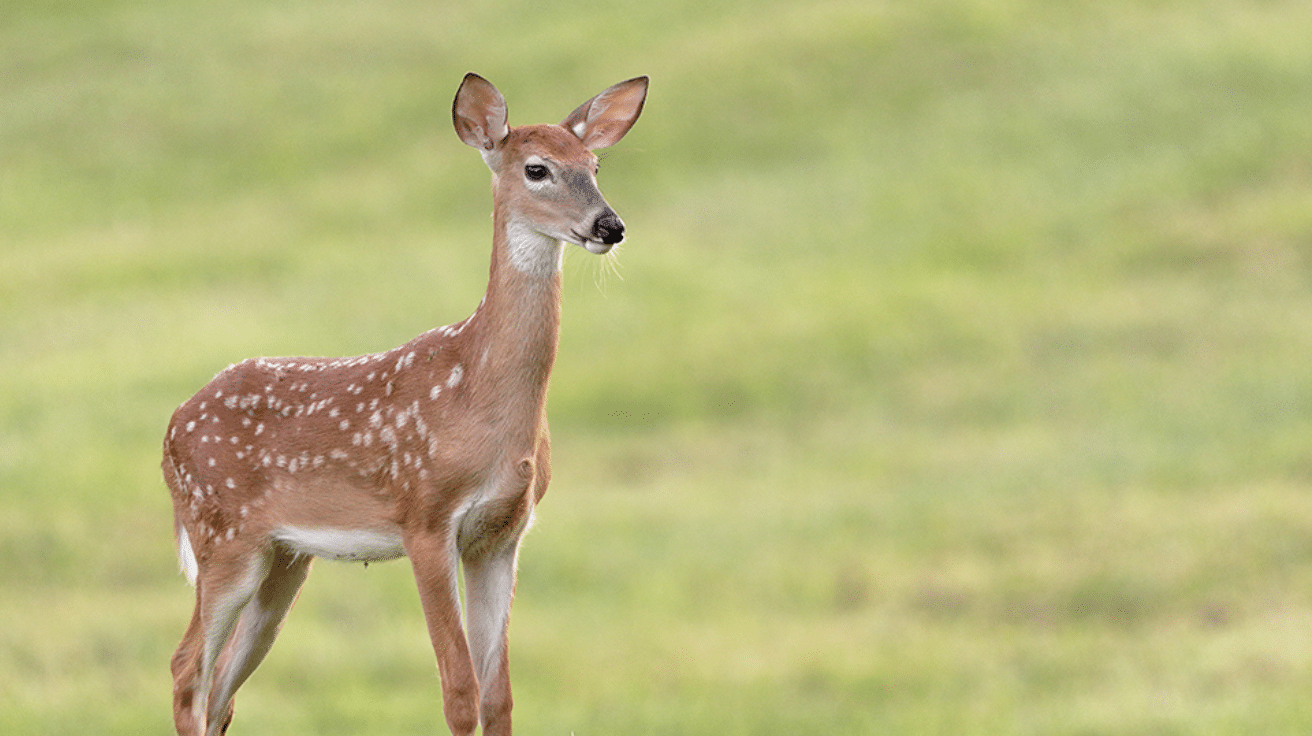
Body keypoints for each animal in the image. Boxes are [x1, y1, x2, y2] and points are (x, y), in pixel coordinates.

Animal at [161, 73, 648, 734]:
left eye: (595, 166)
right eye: (537, 169)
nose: (609, 226)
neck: (479, 393)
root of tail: (170, 430)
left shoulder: (503, 534)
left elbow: (499, 695)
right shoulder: (425, 516)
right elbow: (460, 690)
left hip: (283, 558)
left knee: (222, 689)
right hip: (222, 535)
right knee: (187, 668)